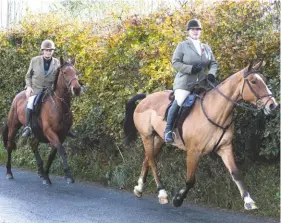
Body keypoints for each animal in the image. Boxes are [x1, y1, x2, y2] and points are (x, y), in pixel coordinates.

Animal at [2, 57, 81, 185]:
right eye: (65, 73)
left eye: (76, 72)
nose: (77, 89)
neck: (59, 106)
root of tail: (17, 96)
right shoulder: (50, 132)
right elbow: (61, 150)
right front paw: (68, 175)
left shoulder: (62, 134)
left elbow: (53, 154)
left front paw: (46, 175)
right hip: (14, 126)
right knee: (9, 145)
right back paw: (9, 172)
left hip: (37, 132)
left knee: (33, 145)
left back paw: (41, 170)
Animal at [123, 61, 278, 211]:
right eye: (253, 81)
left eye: (264, 80)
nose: (273, 105)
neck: (216, 112)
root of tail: (146, 98)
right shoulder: (193, 152)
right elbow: (190, 180)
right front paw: (178, 199)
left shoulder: (225, 148)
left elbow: (236, 173)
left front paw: (249, 201)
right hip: (147, 137)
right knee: (153, 162)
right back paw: (162, 193)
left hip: (159, 139)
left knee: (147, 159)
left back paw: (139, 188)